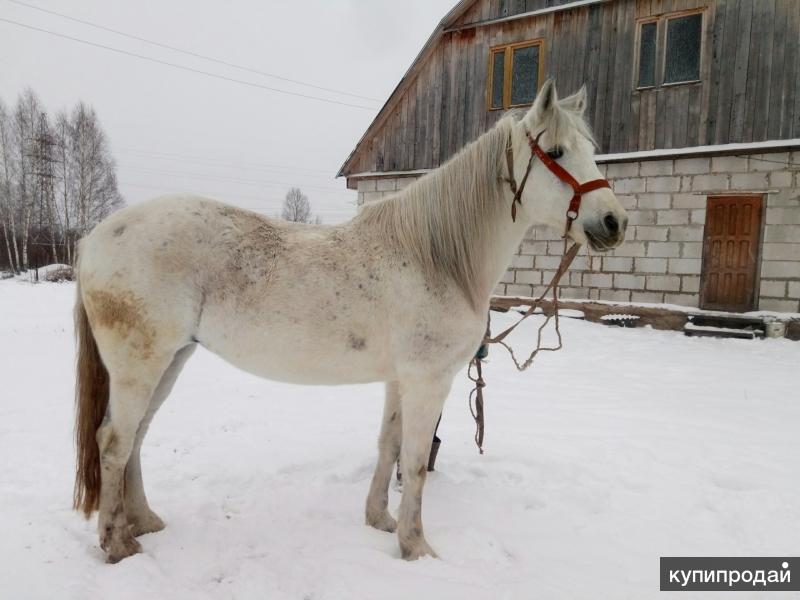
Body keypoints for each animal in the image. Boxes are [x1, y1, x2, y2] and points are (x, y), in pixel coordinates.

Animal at [72, 79, 628, 564]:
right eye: (556, 152)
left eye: (590, 149)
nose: (614, 222)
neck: (435, 257)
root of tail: (95, 237)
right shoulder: (428, 381)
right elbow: (416, 463)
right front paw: (416, 547)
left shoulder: (399, 380)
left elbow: (388, 446)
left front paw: (379, 520)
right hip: (140, 364)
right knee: (115, 442)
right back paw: (118, 545)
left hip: (172, 359)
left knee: (137, 436)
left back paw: (144, 522)